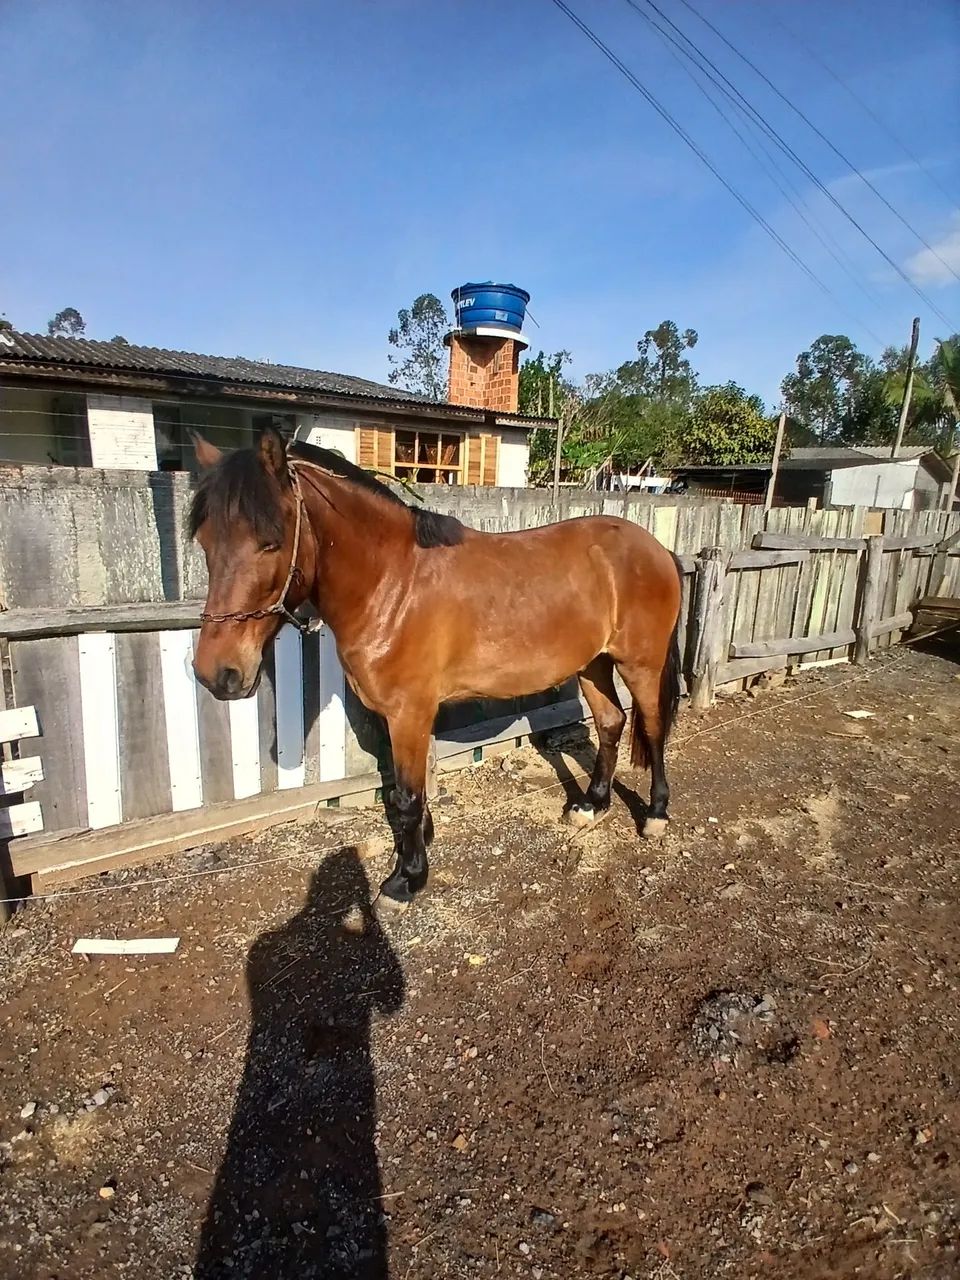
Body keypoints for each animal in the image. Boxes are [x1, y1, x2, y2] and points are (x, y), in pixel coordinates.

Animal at [190, 426, 683, 907]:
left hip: (640, 664)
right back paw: (592, 805)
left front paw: (405, 879)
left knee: (653, 726)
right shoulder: (397, 717)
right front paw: (417, 848)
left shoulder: (409, 713)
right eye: (204, 542)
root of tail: (658, 550)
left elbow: (407, 796)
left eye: (270, 543)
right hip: (593, 664)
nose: (217, 674)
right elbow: (405, 792)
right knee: (611, 722)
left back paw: (656, 814)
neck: (392, 584)